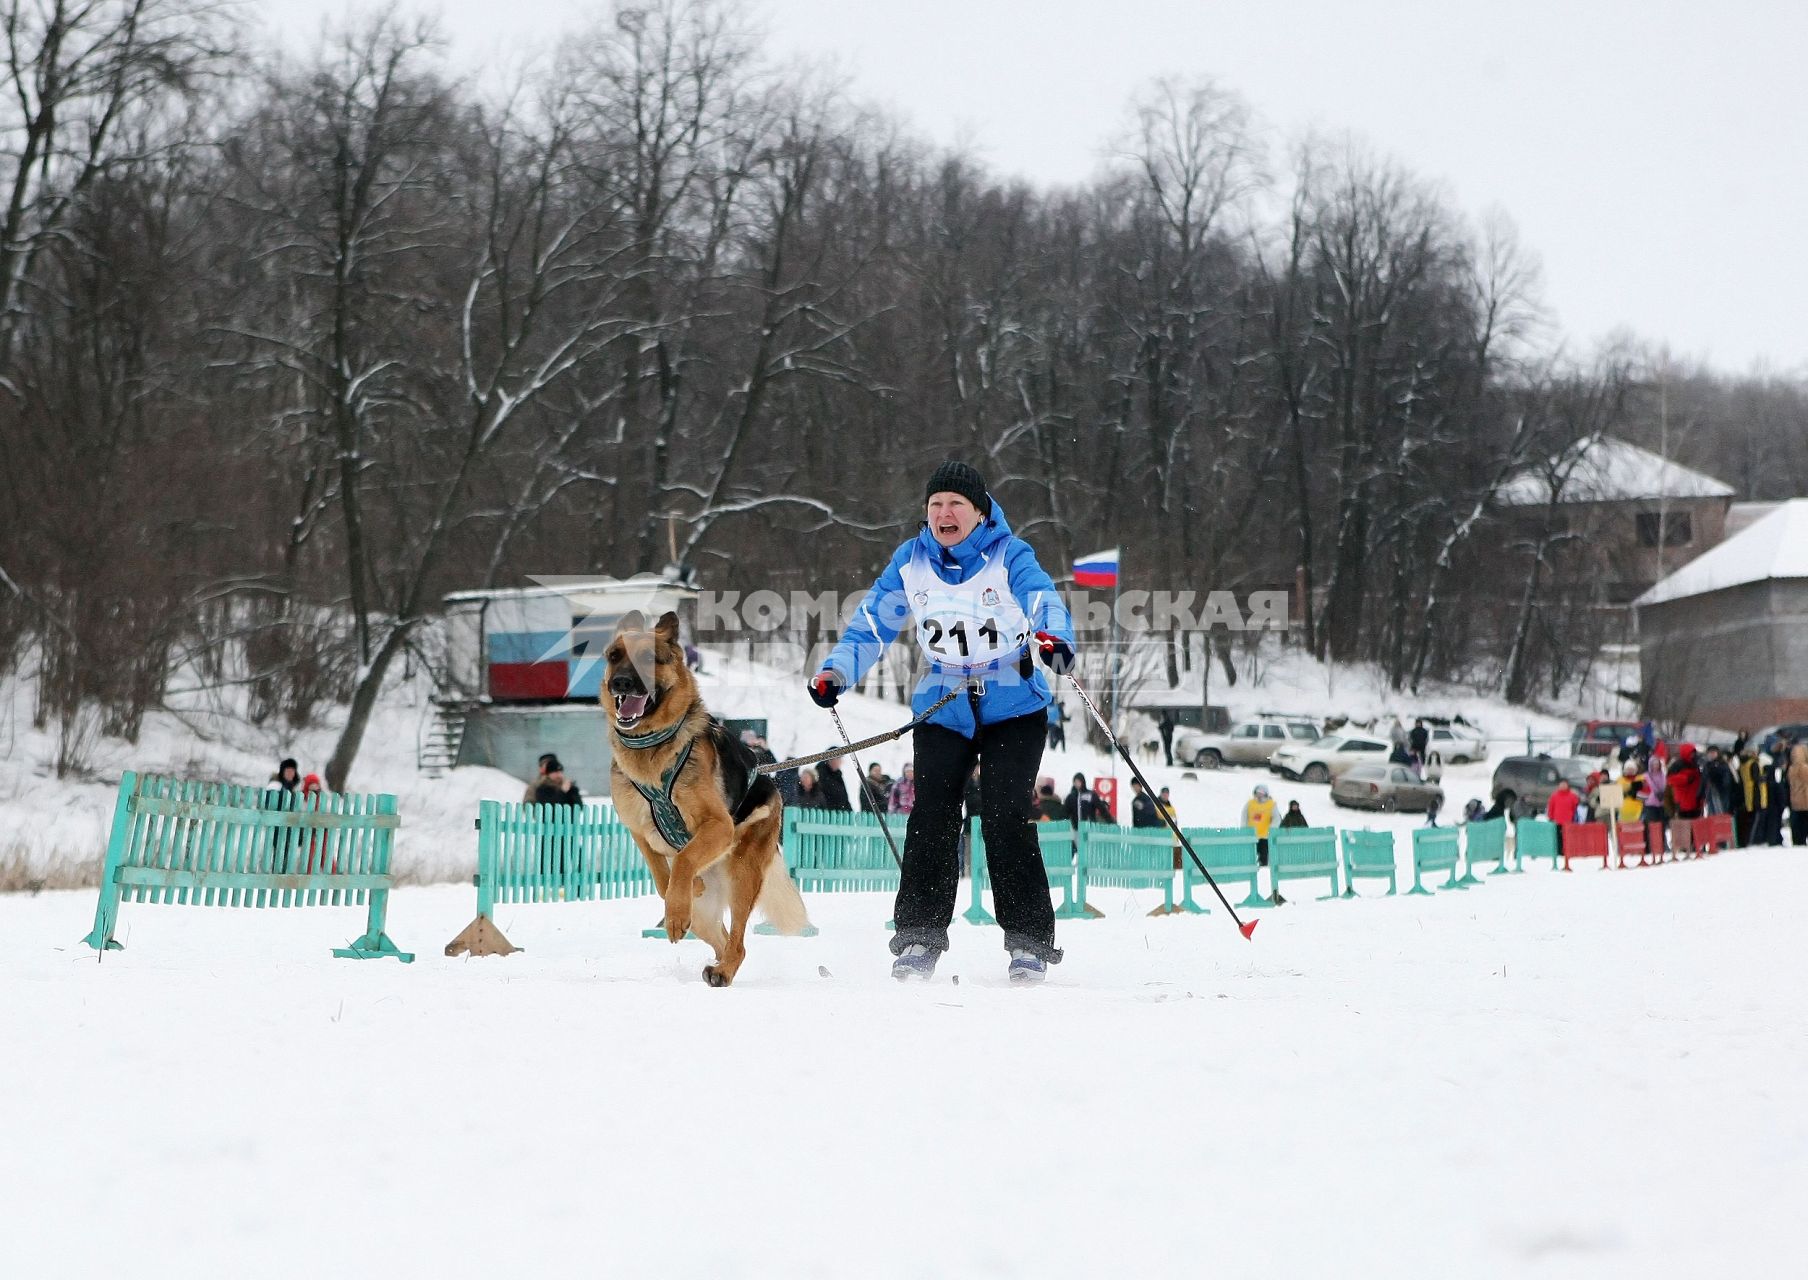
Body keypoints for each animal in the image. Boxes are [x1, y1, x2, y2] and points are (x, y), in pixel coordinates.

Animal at [603, 607, 809, 983]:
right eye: (614, 657)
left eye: (648, 658)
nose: (620, 683)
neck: (654, 745)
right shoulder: (638, 831)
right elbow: (662, 875)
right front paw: (683, 892)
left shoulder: (718, 826)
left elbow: (684, 858)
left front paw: (680, 898)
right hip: (703, 914)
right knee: (722, 936)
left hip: (742, 873)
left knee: (738, 943)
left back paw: (723, 971)